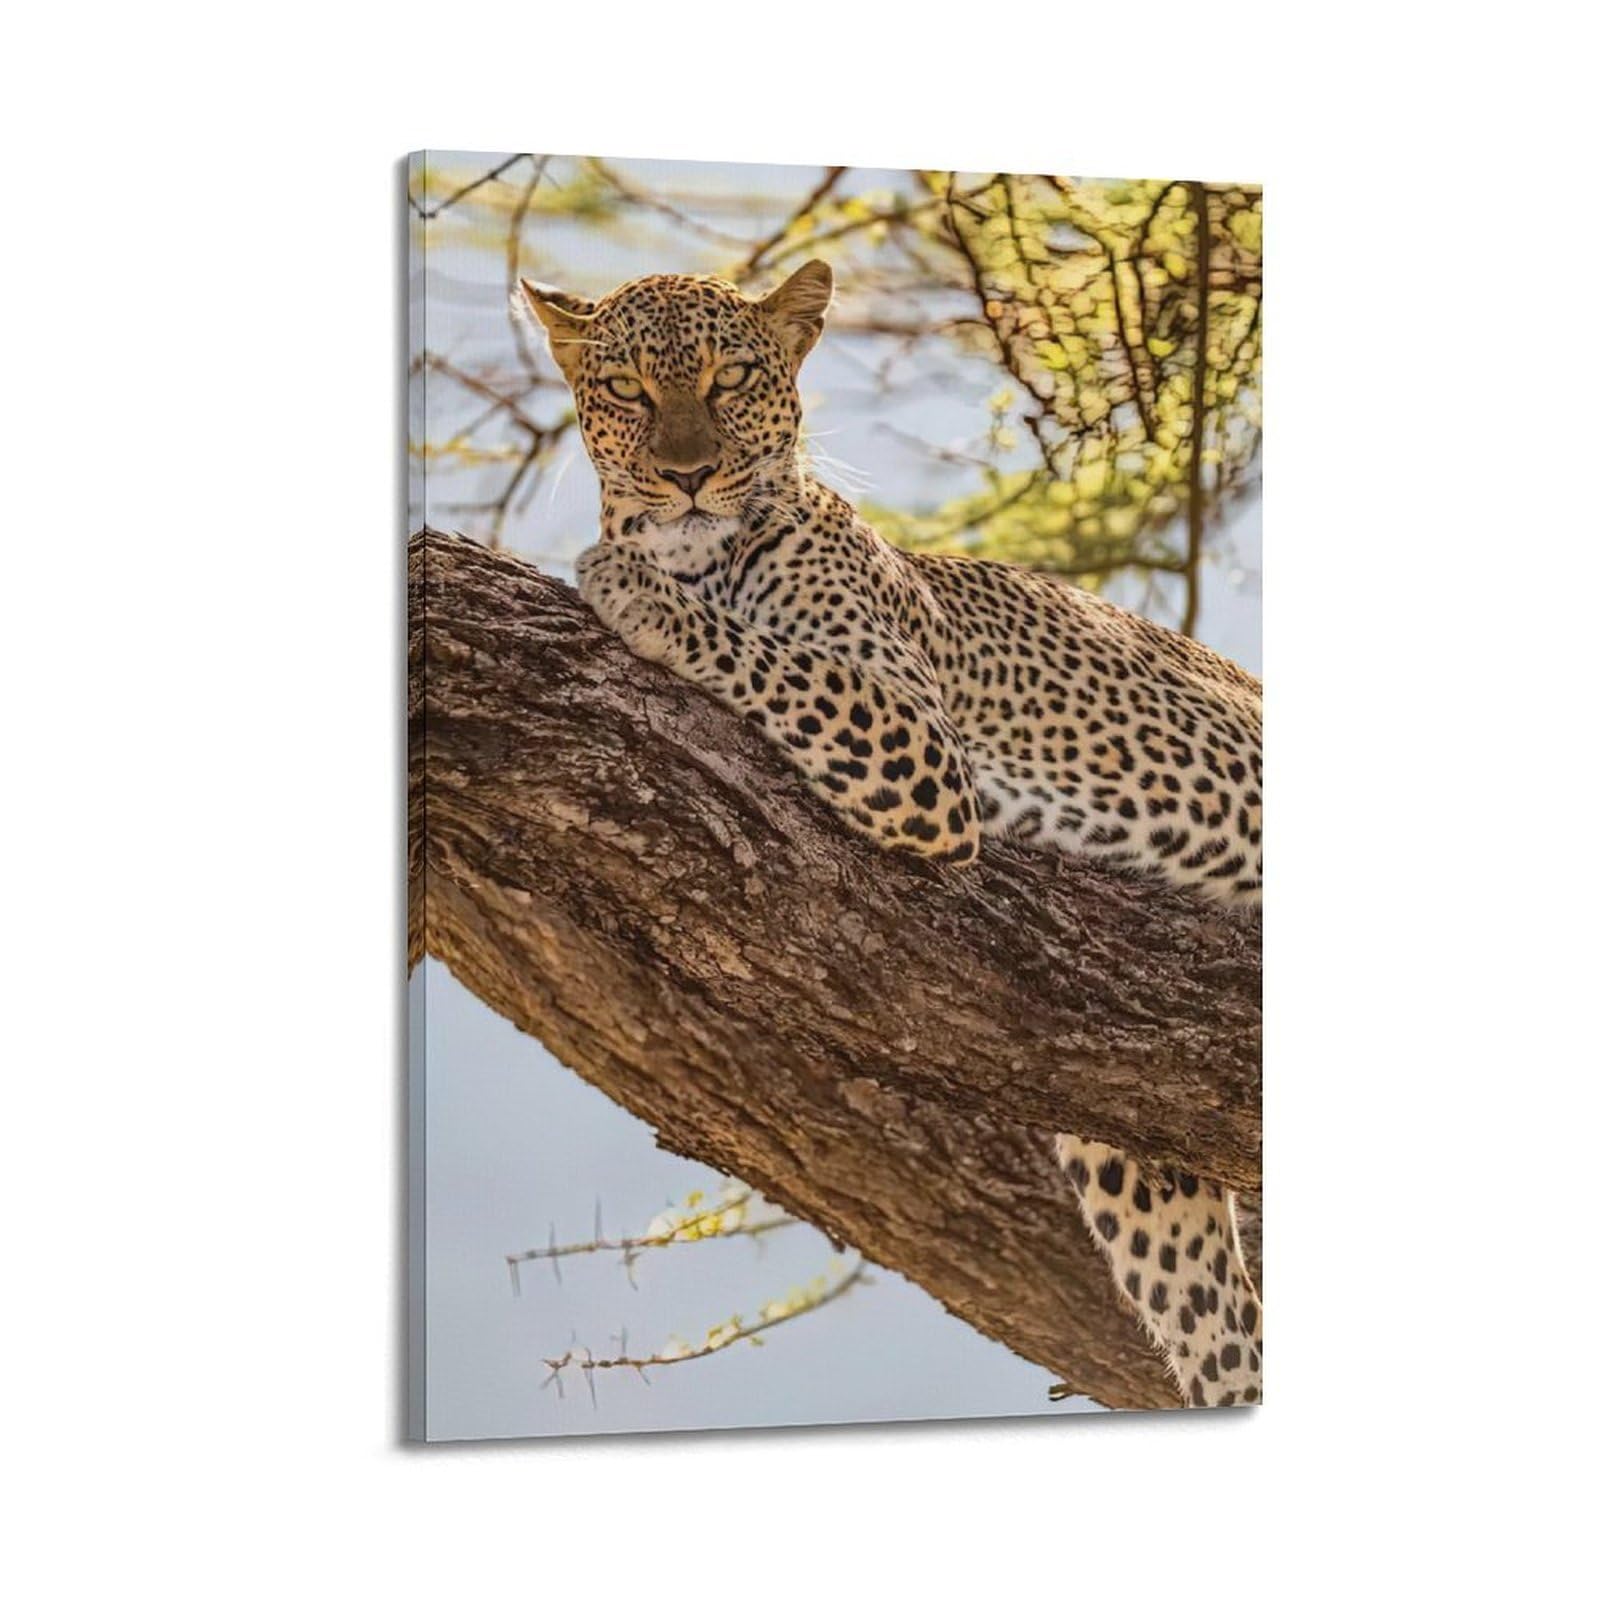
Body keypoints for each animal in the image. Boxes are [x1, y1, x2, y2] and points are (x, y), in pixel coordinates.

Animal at [516, 261, 1263, 1408]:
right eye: (631, 391)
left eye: (730, 380)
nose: (686, 478)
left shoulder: (918, 744)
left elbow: (764, 653)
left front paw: (624, 582)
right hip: (1140, 1161)